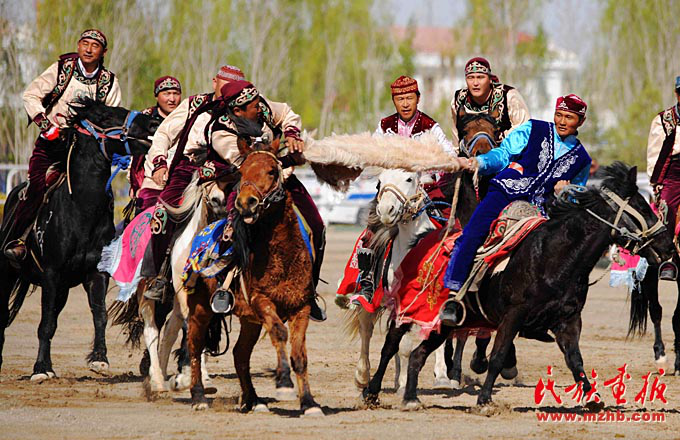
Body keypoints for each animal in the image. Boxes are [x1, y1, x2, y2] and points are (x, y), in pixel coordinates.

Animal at [0, 99, 159, 379]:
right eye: (105, 116)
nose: (153, 123)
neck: (81, 210)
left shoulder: (96, 273)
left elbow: (99, 315)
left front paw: (99, 359)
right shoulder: (51, 274)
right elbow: (45, 323)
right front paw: (40, 369)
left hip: (62, 288)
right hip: (9, 272)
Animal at [186, 136, 323, 416]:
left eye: (271, 171)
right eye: (241, 172)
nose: (245, 202)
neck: (282, 257)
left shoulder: (301, 307)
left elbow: (300, 355)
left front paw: (309, 402)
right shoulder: (262, 301)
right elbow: (280, 334)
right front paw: (283, 383)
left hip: (250, 320)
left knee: (240, 353)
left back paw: (254, 399)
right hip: (200, 309)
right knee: (194, 346)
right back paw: (198, 397)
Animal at [362, 162, 674, 410]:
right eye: (641, 207)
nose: (668, 244)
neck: (553, 257)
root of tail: (420, 241)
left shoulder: (568, 321)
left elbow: (575, 360)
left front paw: (593, 398)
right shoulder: (512, 316)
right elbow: (499, 355)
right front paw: (485, 400)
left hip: (445, 325)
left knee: (418, 354)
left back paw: (411, 398)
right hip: (409, 311)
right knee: (390, 345)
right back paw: (372, 392)